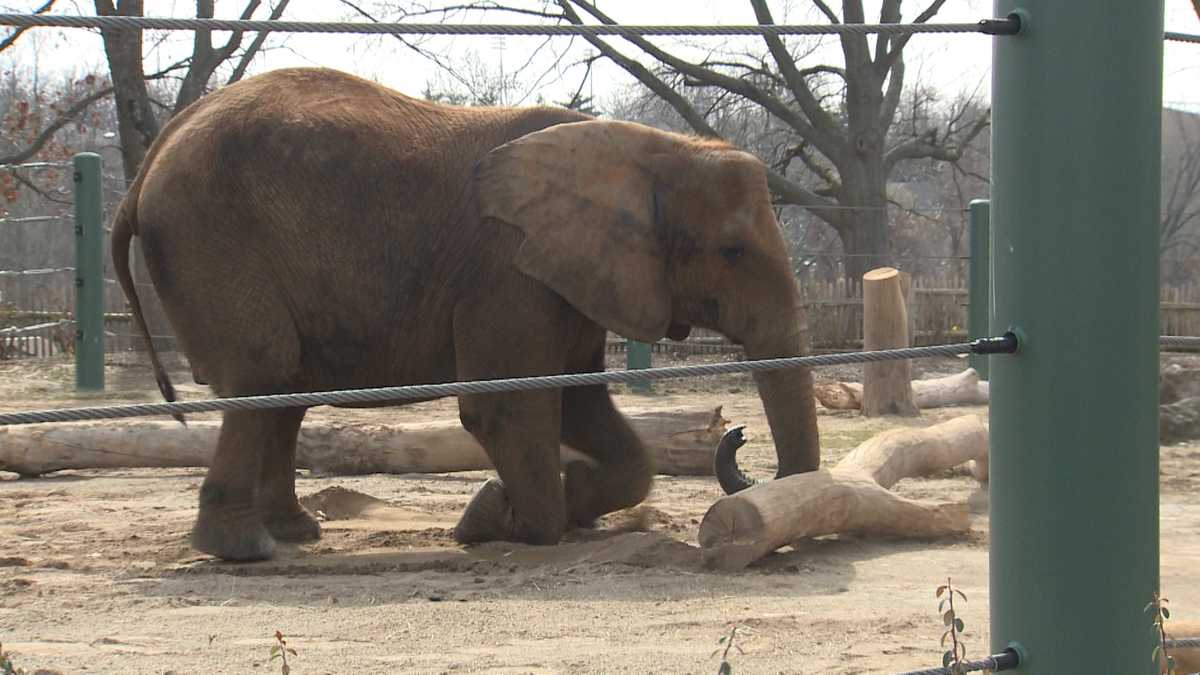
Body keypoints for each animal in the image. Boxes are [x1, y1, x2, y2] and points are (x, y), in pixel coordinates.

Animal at [110, 65, 825, 559]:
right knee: (264, 372)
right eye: (731, 251)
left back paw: (294, 534)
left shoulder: (562, 274)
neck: (649, 148)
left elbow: (585, 402)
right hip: (212, 238)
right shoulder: (506, 271)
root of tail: (143, 171)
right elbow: (507, 405)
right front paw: (499, 518)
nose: (738, 436)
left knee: (284, 391)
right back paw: (246, 551)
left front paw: (556, 502)